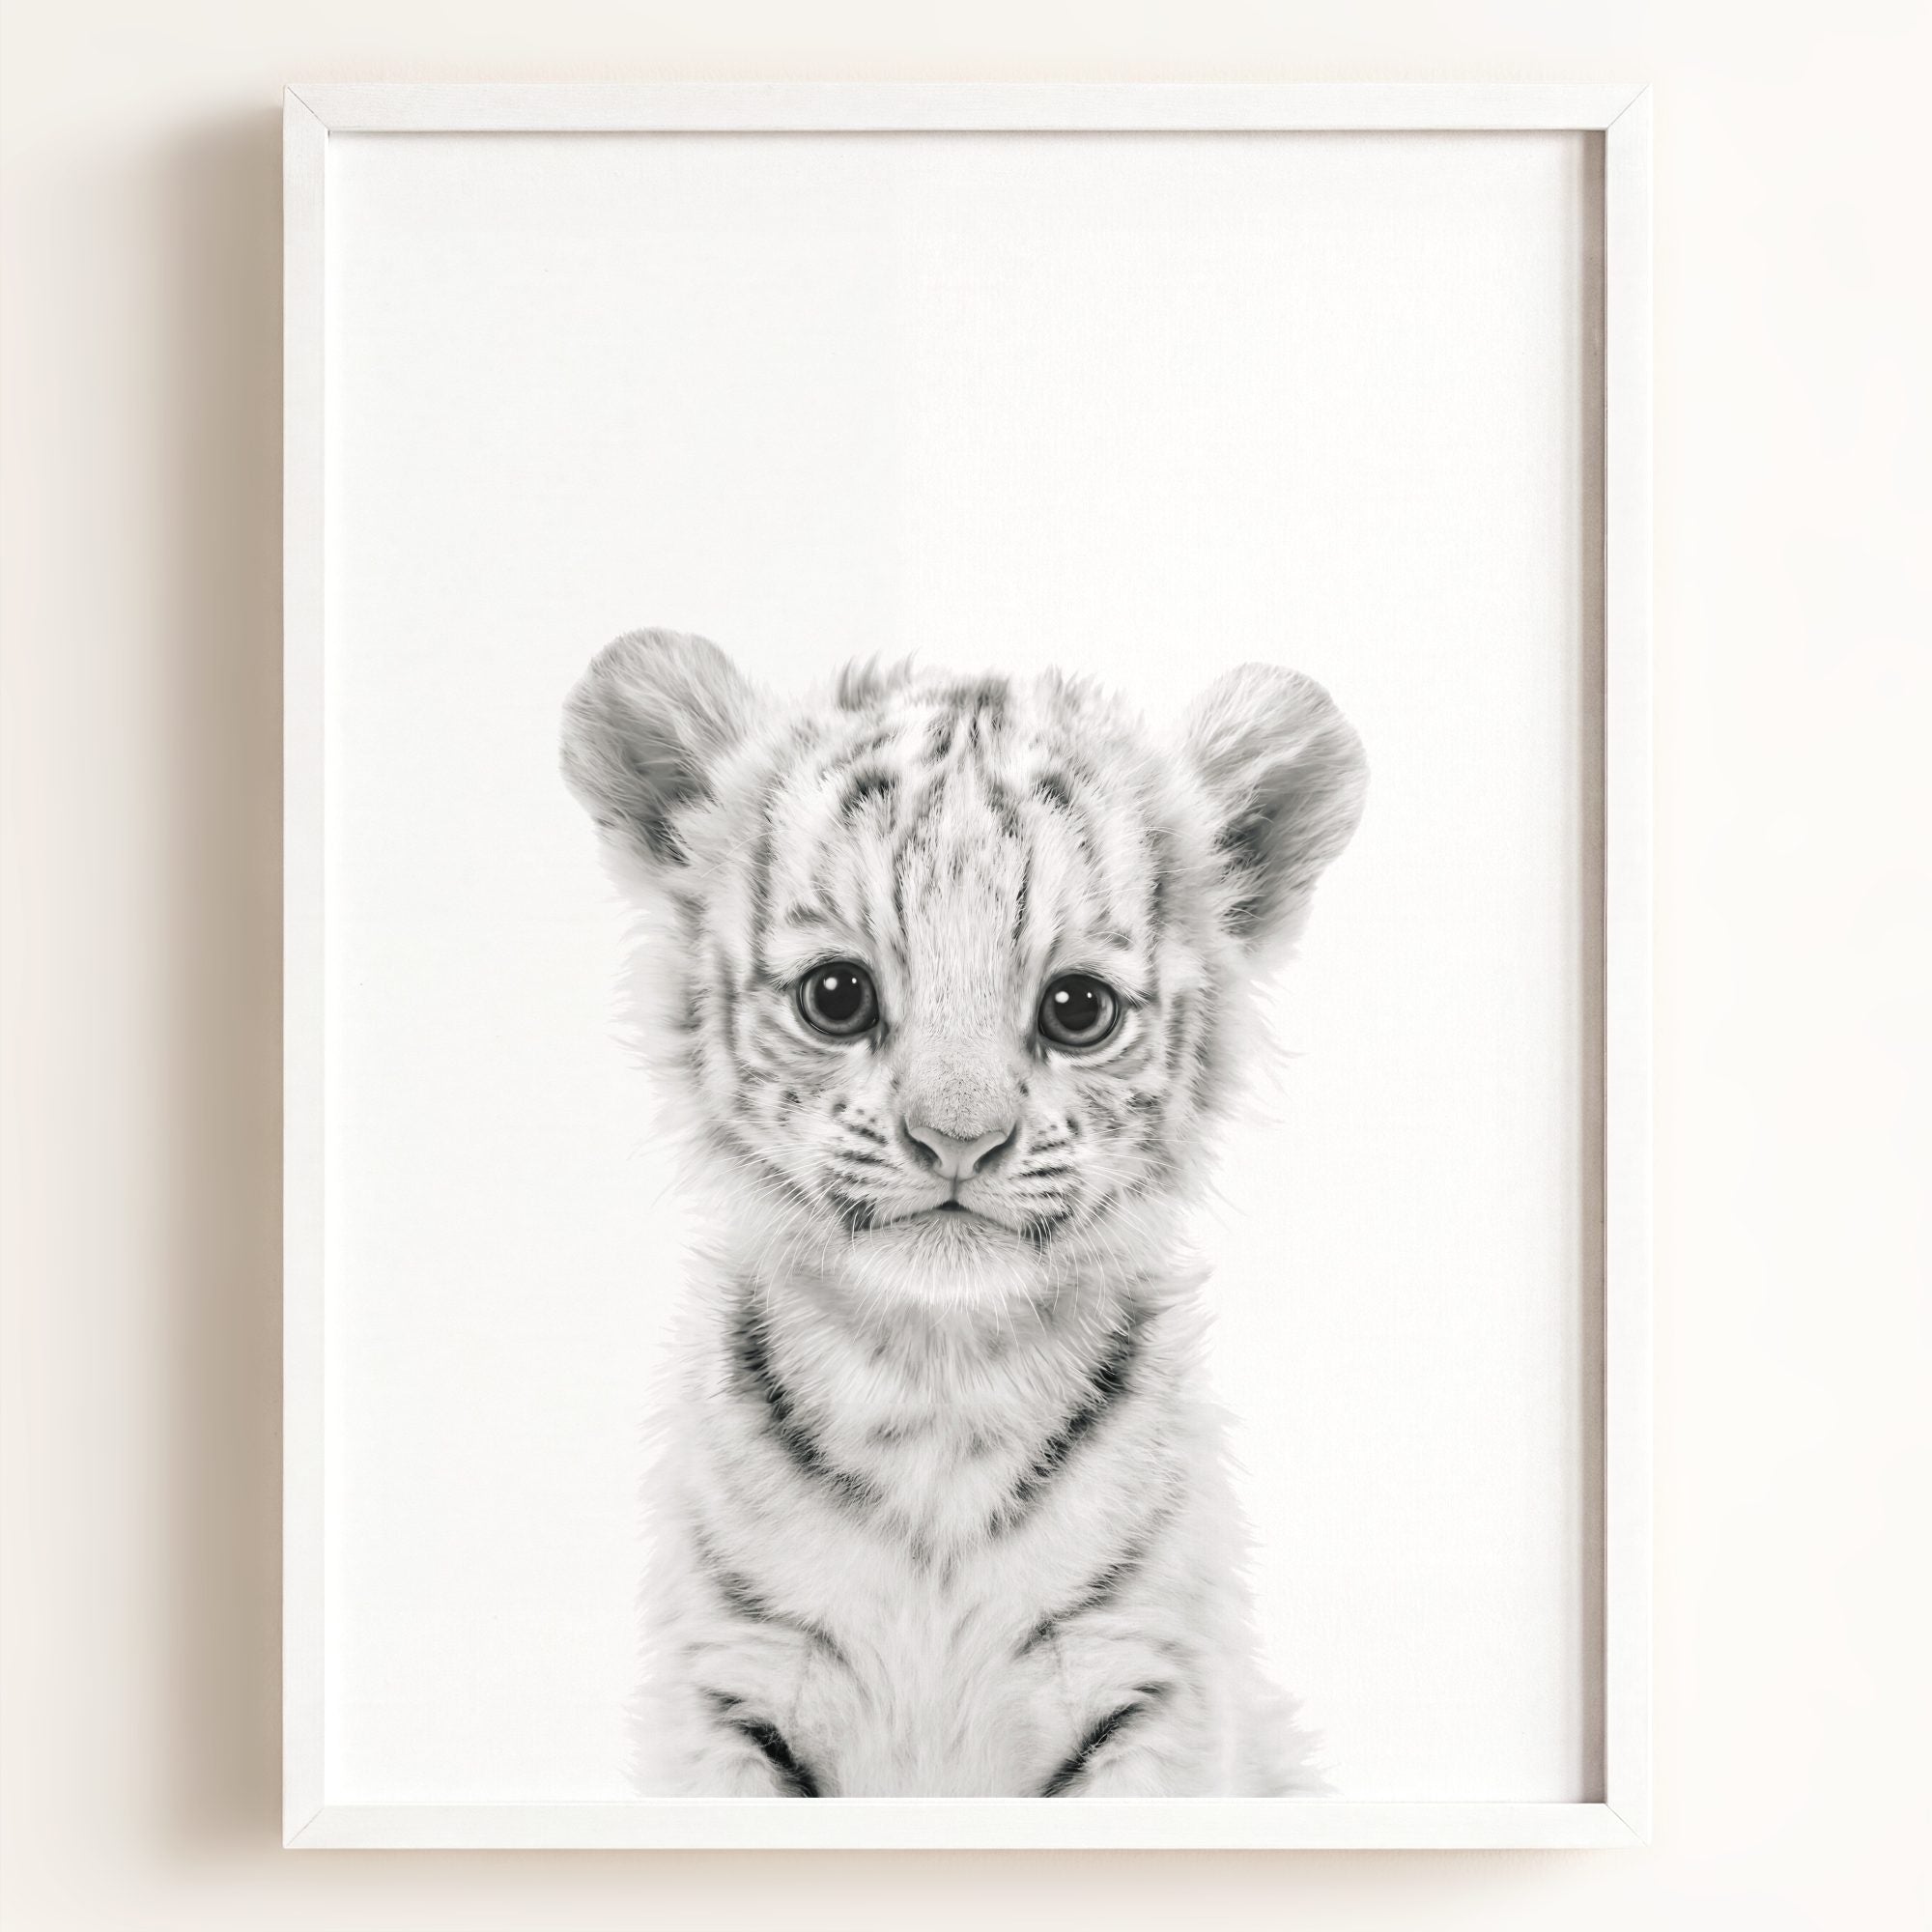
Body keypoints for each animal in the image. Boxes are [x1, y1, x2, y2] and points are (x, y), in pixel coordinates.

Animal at [560, 629, 1367, 1798]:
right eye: (836, 995)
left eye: (1077, 1009)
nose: (956, 1139)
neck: (936, 1386)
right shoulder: (731, 1686)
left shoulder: (1144, 1685)